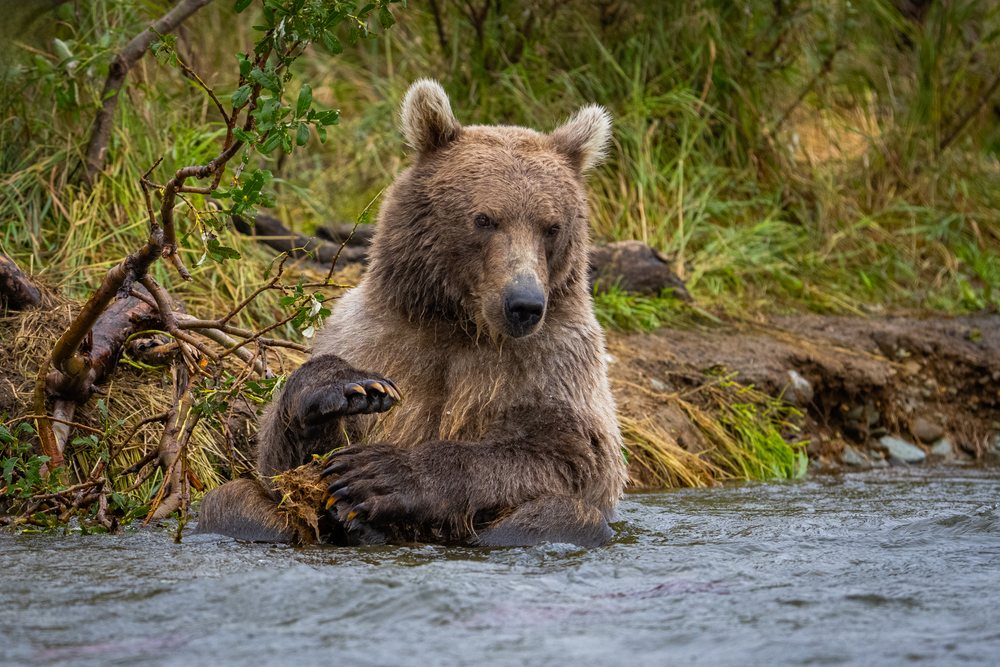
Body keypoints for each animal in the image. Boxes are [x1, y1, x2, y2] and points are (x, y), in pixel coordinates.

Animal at [197, 79, 627, 547]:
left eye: (551, 226)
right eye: (484, 219)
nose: (524, 304)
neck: (461, 322)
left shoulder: (557, 359)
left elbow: (574, 455)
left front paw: (382, 476)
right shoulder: (376, 334)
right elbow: (280, 465)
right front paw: (345, 387)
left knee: (565, 515)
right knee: (231, 503)